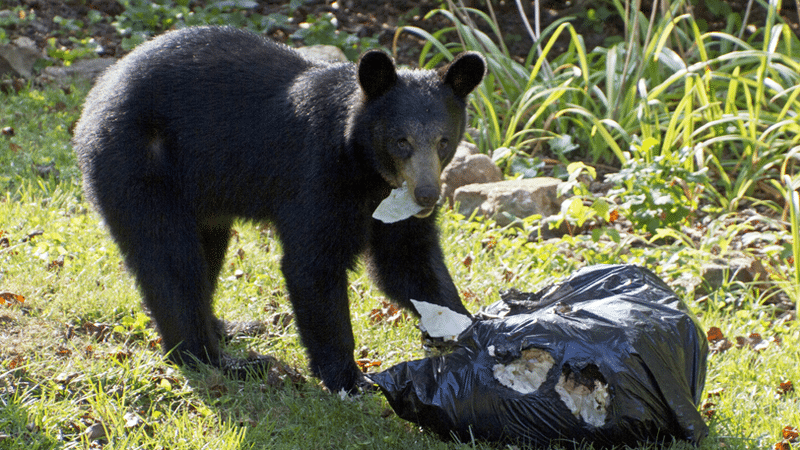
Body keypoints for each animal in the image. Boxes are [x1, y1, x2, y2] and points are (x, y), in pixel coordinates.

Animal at [73, 26, 488, 392]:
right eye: (402, 141)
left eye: (443, 141)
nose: (427, 196)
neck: (367, 171)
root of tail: (96, 97)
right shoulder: (317, 176)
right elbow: (312, 264)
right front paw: (350, 379)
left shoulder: (392, 208)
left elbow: (409, 263)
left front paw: (467, 332)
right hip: (141, 166)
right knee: (170, 260)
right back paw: (217, 359)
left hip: (200, 195)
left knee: (206, 252)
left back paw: (227, 327)